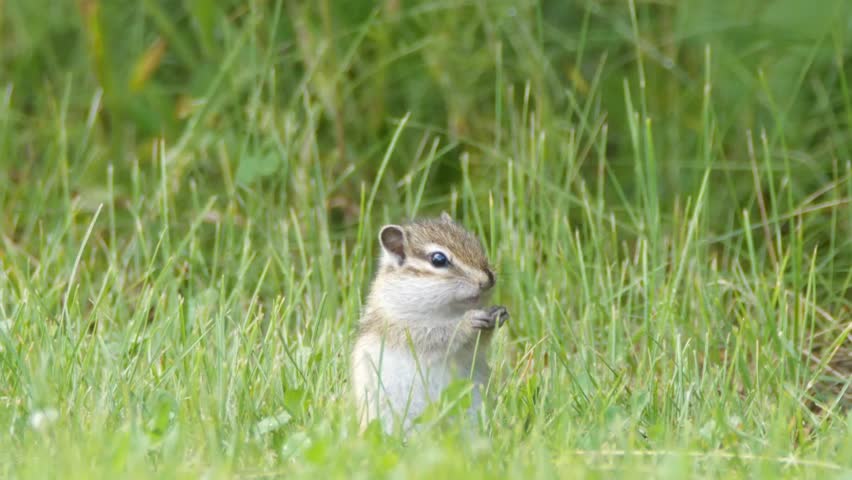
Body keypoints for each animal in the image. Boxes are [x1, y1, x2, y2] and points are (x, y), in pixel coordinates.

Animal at [351, 212, 509, 434]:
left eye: (475, 242)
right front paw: (468, 321)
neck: (450, 310)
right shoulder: (403, 329)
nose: (488, 279)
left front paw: (498, 315)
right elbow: (437, 335)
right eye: (438, 259)